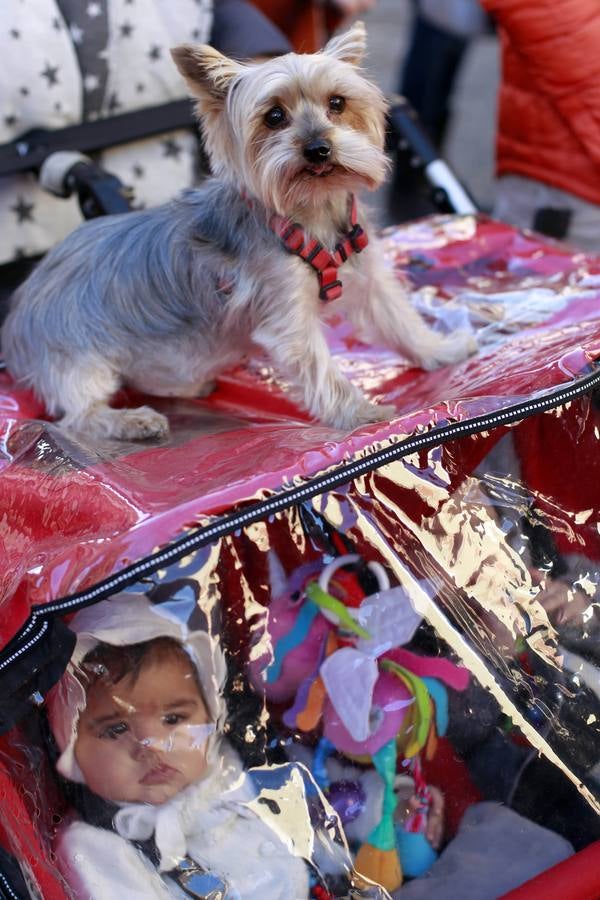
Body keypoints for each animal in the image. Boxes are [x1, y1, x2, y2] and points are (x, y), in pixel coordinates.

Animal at [2, 23, 476, 440]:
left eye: (338, 103)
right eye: (274, 116)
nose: (318, 148)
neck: (311, 214)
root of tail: (15, 311)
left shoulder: (368, 276)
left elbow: (399, 320)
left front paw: (441, 350)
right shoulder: (286, 314)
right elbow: (321, 368)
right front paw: (361, 413)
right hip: (76, 356)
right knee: (78, 417)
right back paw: (133, 421)